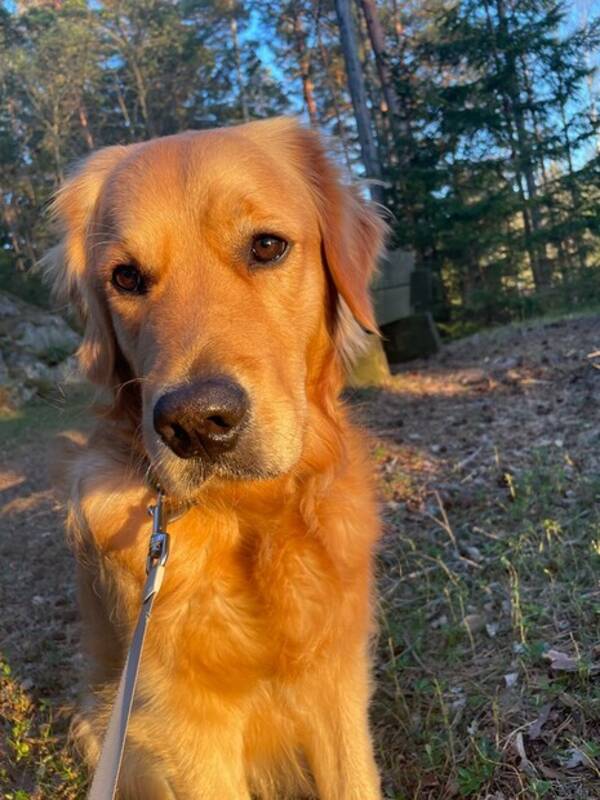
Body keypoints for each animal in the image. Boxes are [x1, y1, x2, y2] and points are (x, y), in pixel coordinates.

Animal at [45, 119, 384, 800]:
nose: (196, 424)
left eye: (267, 246)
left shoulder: (337, 685)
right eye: (125, 278)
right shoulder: (185, 728)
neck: (251, 519)